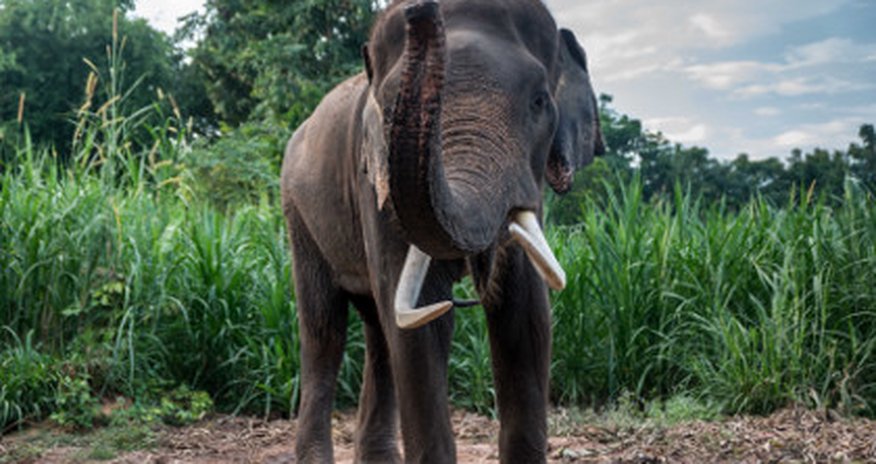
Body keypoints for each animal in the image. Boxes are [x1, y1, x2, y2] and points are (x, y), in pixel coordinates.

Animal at [280, 0, 602, 462]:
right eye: (391, 109)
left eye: (540, 100)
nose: (421, 10)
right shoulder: (375, 184)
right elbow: (425, 322)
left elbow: (527, 314)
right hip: (298, 215)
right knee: (324, 329)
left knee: (378, 330)